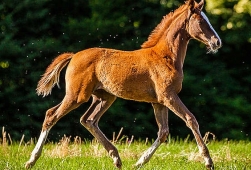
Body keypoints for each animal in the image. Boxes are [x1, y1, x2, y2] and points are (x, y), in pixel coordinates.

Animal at [26, 0, 222, 169]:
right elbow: (191, 119)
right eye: (201, 21)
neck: (165, 56)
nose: (217, 42)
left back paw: (116, 158)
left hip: (105, 97)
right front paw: (208, 161)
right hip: (77, 95)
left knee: (88, 119)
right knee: (52, 115)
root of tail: (74, 55)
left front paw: (139, 162)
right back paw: (31, 160)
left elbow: (163, 132)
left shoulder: (158, 101)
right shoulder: (169, 97)